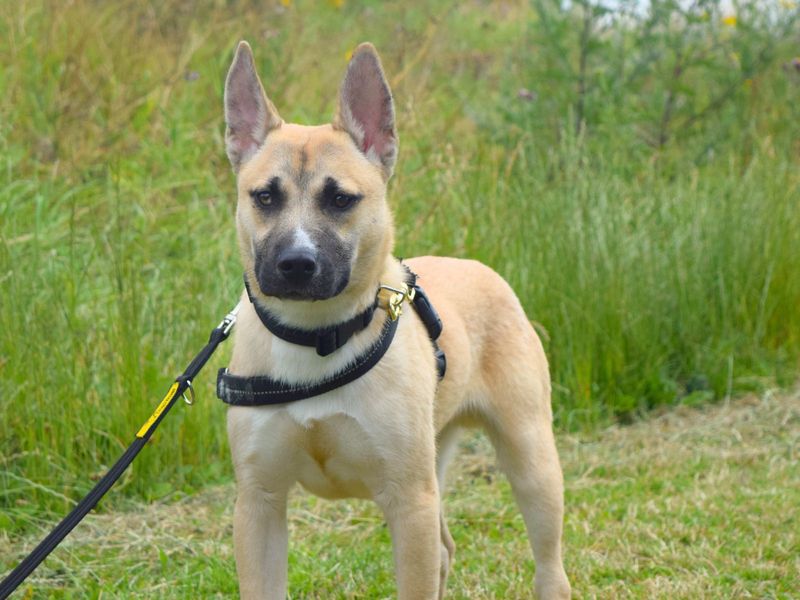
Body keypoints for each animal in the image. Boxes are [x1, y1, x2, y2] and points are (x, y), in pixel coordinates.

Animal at [217, 39, 568, 596]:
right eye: (265, 196)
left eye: (341, 199)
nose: (295, 264)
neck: (317, 337)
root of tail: (480, 269)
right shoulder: (259, 505)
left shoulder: (410, 502)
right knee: (445, 550)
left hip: (530, 458)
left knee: (549, 561)